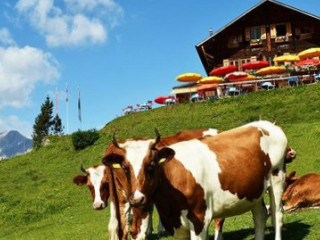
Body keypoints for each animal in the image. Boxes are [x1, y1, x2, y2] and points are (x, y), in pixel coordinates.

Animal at [129, 121, 288, 240]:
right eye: (126, 168)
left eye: (151, 165)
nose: (136, 199)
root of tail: (266, 124)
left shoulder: (199, 220)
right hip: (255, 190)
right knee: (260, 215)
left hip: (277, 177)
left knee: (277, 213)